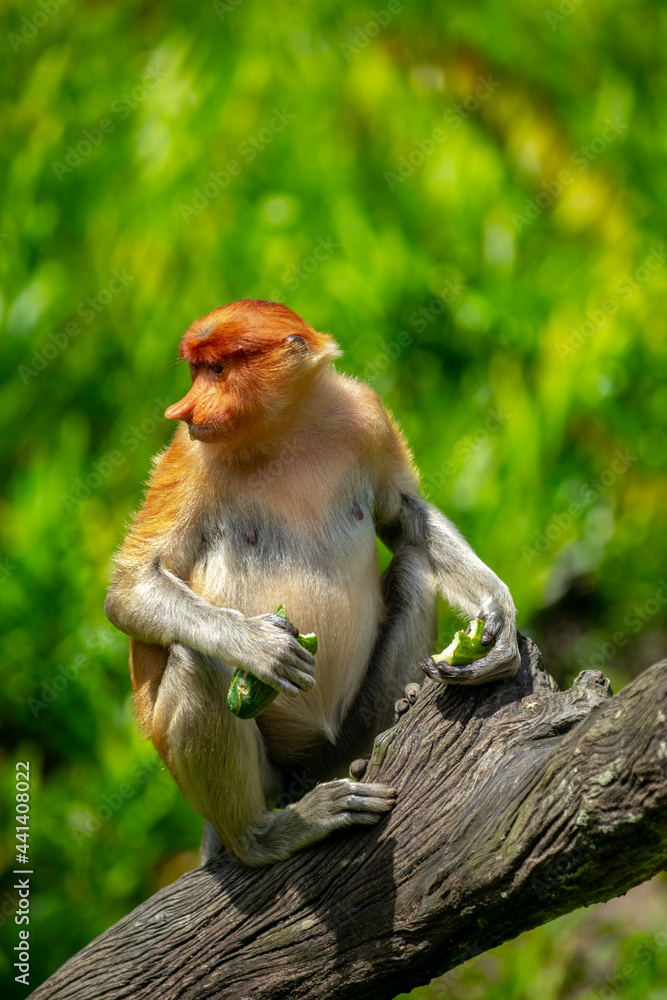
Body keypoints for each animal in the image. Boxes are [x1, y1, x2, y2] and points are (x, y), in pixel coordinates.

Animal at [104, 299, 520, 867]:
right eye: (197, 371)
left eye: (217, 369)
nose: (181, 412)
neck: (282, 431)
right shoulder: (187, 459)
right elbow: (130, 587)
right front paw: (261, 645)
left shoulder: (366, 414)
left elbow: (403, 514)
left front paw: (499, 623)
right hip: (260, 777)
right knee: (198, 658)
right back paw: (265, 837)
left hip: (347, 736)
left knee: (414, 570)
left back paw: (402, 707)